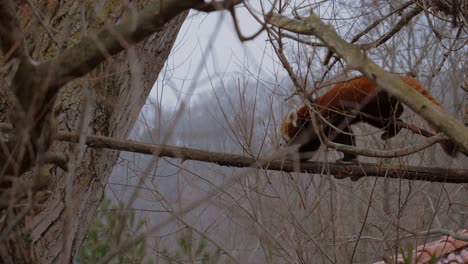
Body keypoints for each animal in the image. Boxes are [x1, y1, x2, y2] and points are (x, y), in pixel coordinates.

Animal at [280, 75, 458, 162]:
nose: (283, 143)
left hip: (375, 97)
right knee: (379, 119)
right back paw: (392, 129)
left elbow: (331, 138)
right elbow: (344, 136)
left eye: (284, 136)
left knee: (388, 107)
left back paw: (396, 116)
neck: (308, 114)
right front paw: (349, 157)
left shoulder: (326, 118)